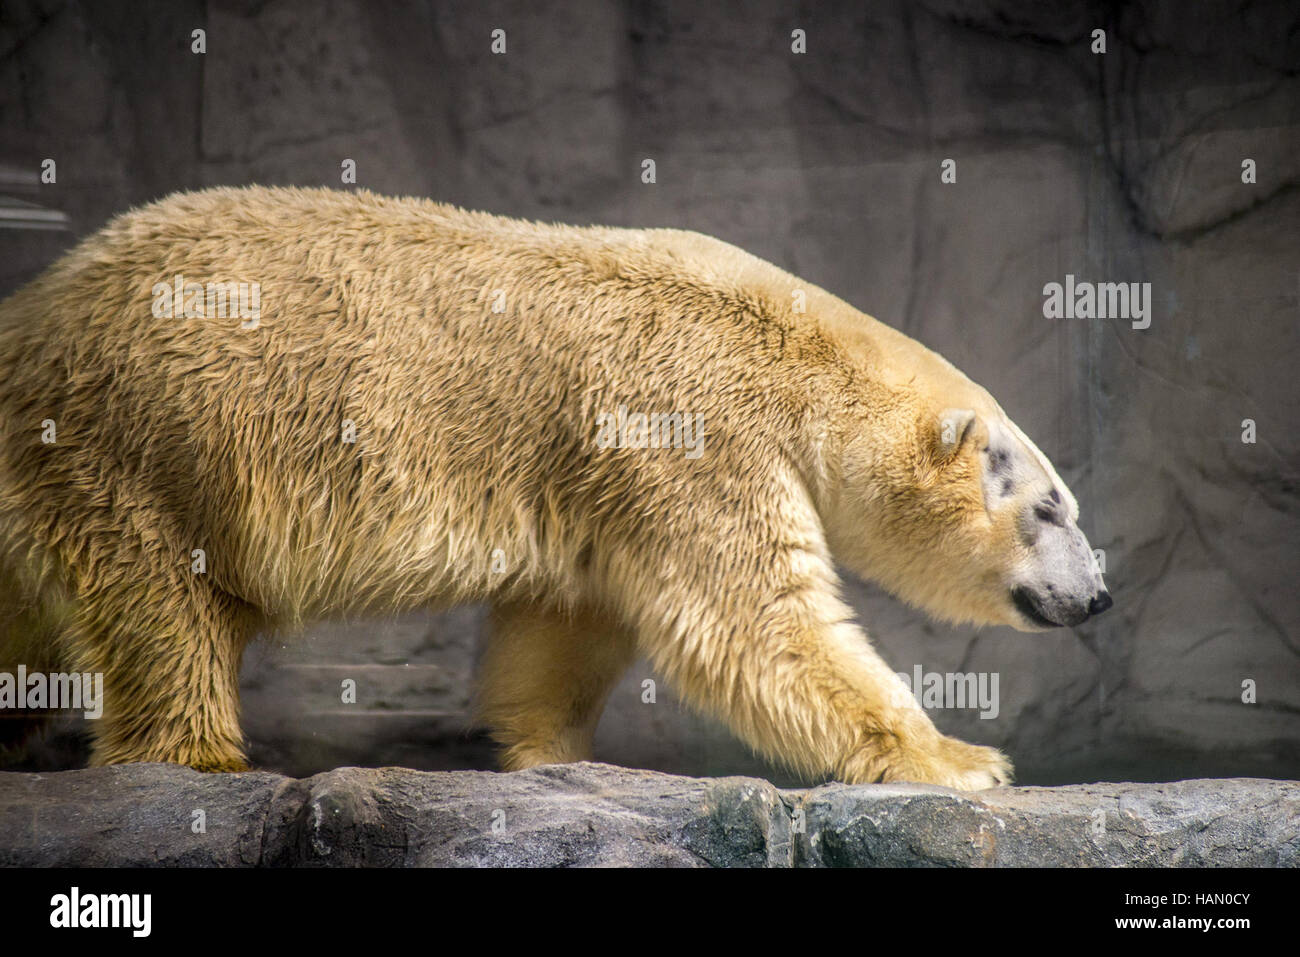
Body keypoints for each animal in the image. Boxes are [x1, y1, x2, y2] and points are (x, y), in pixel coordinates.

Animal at [2, 184, 1107, 785]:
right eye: (1048, 507)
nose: (1097, 593)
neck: (790, 350)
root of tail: (33, 310)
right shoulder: (692, 424)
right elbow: (755, 620)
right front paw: (963, 760)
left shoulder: (601, 470)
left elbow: (568, 619)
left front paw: (548, 748)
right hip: (142, 437)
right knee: (164, 600)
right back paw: (201, 754)